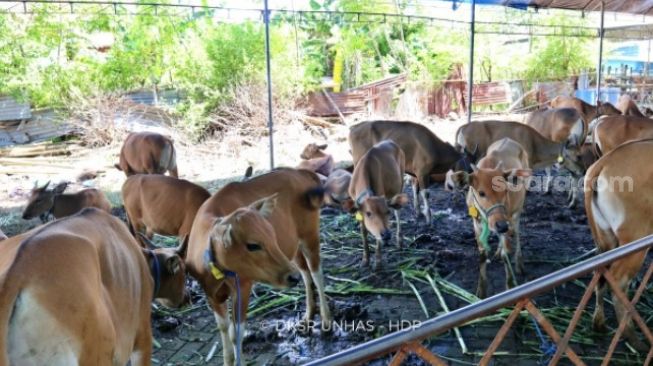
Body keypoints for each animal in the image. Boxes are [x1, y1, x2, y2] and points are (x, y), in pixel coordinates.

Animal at [185, 169, 328, 366]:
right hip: (293, 247)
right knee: (305, 272)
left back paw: (326, 319)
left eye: (272, 235)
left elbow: (236, 333)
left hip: (310, 235)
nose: (291, 277)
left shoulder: (243, 286)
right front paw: (228, 360)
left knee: (316, 273)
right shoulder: (211, 293)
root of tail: (300, 171)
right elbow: (223, 327)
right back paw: (308, 316)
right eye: (253, 245)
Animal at [346, 140, 408, 268]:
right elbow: (363, 233)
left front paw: (378, 263)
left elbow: (377, 239)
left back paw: (399, 242)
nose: (387, 235)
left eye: (387, 212)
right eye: (368, 213)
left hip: (401, 182)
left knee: (398, 211)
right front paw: (365, 260)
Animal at [448, 139, 528, 298]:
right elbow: (482, 255)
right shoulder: (476, 224)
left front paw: (510, 286)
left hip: (517, 211)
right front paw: (481, 290)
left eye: (505, 190)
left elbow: (506, 254)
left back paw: (519, 263)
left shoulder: (507, 219)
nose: (501, 225)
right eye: (481, 193)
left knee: (517, 232)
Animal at [584, 139, 652, 350]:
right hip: (635, 240)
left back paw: (599, 324)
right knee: (618, 280)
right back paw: (636, 340)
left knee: (601, 275)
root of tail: (603, 162)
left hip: (606, 239)